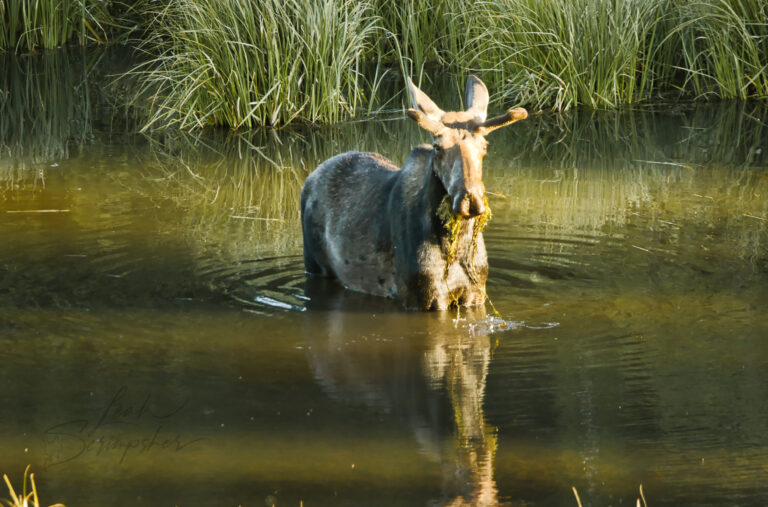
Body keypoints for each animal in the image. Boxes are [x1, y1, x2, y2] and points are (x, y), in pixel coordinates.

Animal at [300, 75, 527, 310]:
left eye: (484, 146)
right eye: (437, 147)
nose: (470, 199)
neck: (456, 247)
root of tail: (310, 177)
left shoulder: (475, 293)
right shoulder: (423, 298)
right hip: (315, 266)